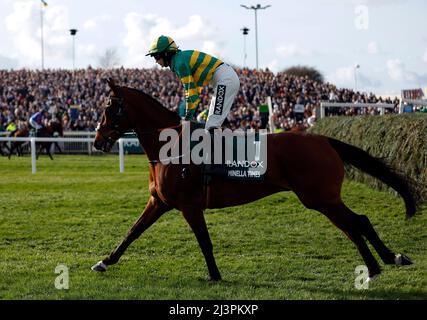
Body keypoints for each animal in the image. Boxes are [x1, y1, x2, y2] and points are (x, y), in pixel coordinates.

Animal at [91, 79, 418, 282]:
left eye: (109, 109)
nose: (97, 141)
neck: (170, 146)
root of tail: (323, 139)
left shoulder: (189, 206)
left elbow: (204, 241)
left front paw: (215, 275)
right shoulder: (159, 202)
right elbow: (132, 232)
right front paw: (104, 261)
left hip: (319, 198)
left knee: (353, 225)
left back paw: (376, 266)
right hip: (324, 198)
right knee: (359, 221)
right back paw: (388, 260)